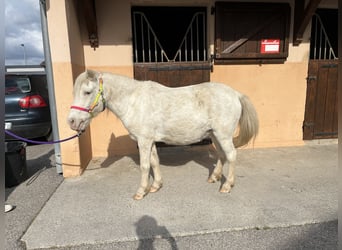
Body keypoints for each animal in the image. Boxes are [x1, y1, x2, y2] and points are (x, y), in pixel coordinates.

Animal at [67, 69, 260, 200]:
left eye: (87, 92)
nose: (72, 121)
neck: (134, 101)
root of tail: (235, 94)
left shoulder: (143, 141)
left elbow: (145, 166)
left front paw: (141, 192)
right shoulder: (150, 141)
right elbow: (154, 162)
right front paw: (155, 186)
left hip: (223, 135)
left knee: (231, 155)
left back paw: (227, 186)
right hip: (214, 135)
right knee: (222, 154)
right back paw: (214, 177)